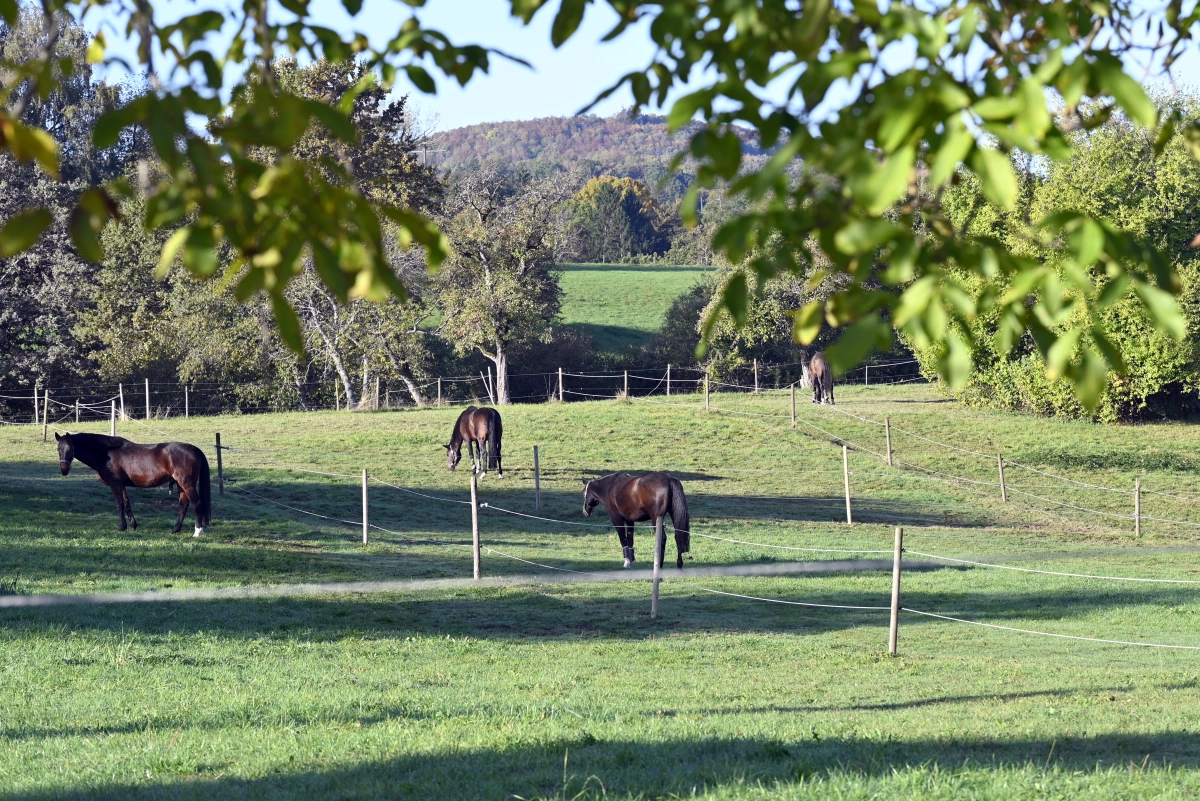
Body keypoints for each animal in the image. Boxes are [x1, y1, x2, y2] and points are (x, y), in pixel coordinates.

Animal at [55, 431, 212, 537]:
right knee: (183, 506)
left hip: (187, 484)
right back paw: (175, 530)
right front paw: (133, 526)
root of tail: (195, 449)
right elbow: (127, 505)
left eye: (70, 449)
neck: (107, 453)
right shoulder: (122, 485)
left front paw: (122, 527)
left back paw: (197, 532)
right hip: (181, 485)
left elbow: (119, 505)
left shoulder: (115, 485)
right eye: (58, 449)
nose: (64, 470)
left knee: (197, 504)